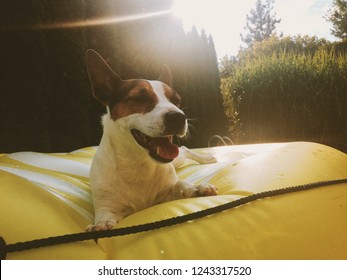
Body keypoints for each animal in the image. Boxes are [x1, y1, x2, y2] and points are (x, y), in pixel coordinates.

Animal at [85, 49, 218, 231]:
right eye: (139, 99)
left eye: (176, 101)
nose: (179, 117)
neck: (139, 164)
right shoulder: (108, 205)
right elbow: (105, 215)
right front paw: (102, 224)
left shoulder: (166, 193)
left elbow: (180, 184)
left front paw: (195, 187)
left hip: (177, 159)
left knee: (183, 149)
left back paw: (206, 159)